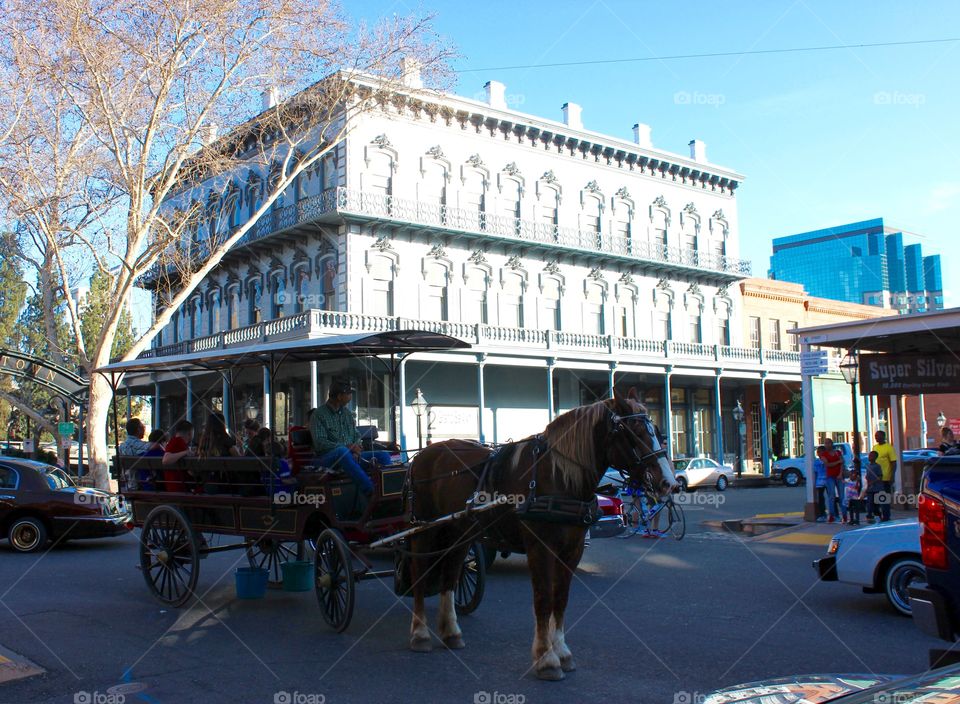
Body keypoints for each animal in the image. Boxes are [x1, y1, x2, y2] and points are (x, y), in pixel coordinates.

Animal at [404, 390, 676, 680]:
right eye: (634, 431)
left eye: (656, 430)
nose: (669, 482)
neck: (557, 475)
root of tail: (422, 455)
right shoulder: (539, 546)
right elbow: (543, 599)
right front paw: (546, 659)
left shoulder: (572, 549)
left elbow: (561, 599)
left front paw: (563, 652)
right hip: (423, 528)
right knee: (419, 572)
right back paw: (420, 634)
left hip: (459, 532)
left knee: (451, 572)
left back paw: (451, 632)